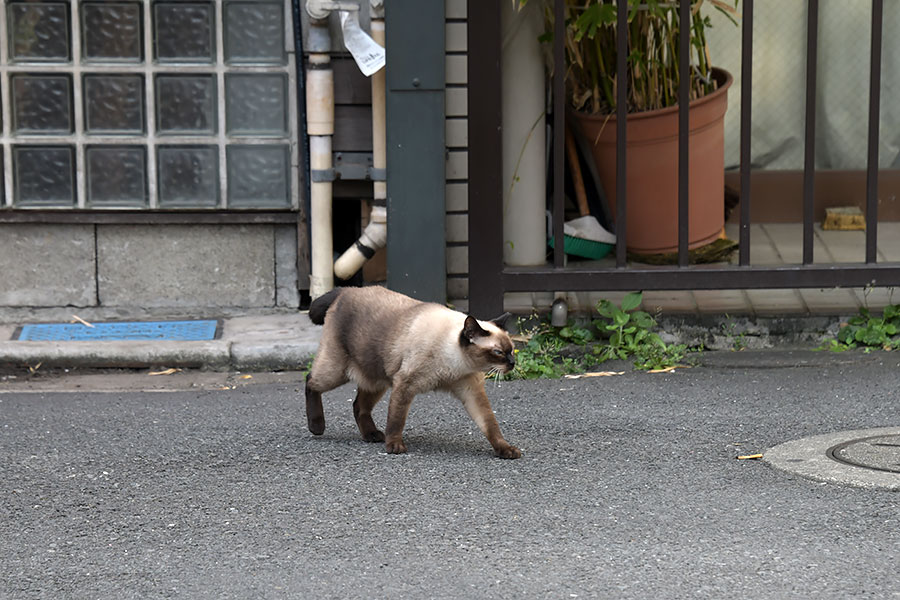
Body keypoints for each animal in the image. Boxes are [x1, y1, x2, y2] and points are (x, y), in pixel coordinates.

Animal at [308, 286, 524, 460]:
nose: (512, 363)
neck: (457, 363)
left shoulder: (472, 392)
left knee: (359, 406)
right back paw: (317, 426)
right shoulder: (405, 385)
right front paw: (394, 446)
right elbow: (396, 420)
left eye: (512, 350)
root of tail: (346, 289)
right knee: (311, 381)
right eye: (498, 352)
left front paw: (505, 450)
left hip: (377, 379)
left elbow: (490, 424)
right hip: (337, 371)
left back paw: (372, 435)